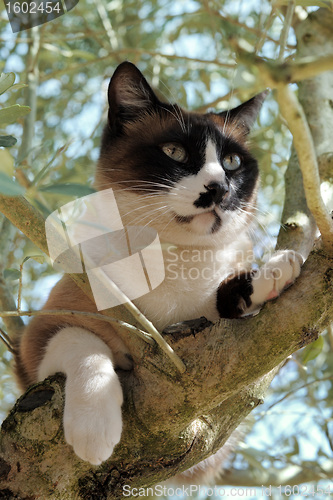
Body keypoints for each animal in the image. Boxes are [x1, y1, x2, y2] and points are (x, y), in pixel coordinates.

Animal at [14, 61, 302, 464]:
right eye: (174, 152)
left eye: (231, 162)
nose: (219, 189)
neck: (172, 258)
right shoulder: (35, 346)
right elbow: (82, 341)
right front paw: (94, 433)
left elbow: (228, 297)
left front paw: (276, 269)